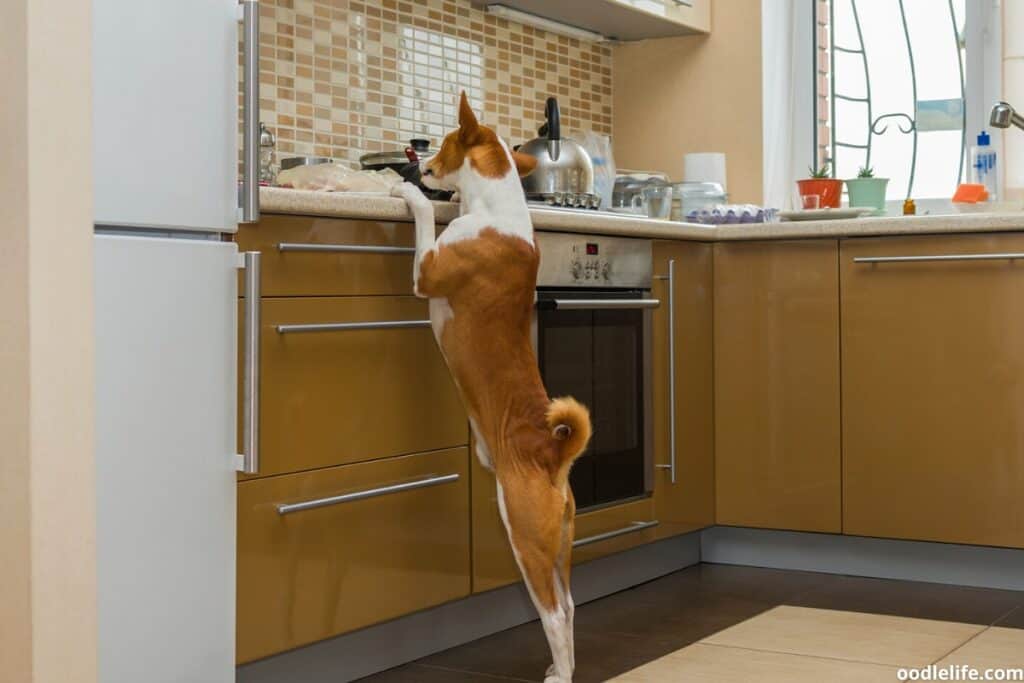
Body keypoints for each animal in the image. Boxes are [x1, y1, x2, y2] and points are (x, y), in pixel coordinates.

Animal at [391, 92, 593, 683]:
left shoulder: (427, 272)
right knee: (571, 604)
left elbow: (422, 223)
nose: (418, 164)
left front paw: (408, 192)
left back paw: (560, 674)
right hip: (560, 541)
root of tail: (553, 453)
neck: (494, 210)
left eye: (441, 142)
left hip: (525, 535)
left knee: (553, 612)